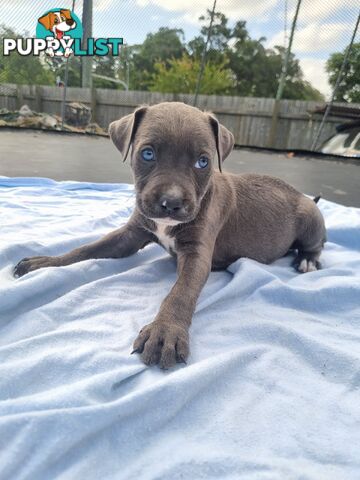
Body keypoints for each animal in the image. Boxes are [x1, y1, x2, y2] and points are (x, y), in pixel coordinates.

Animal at [13, 103, 326, 370]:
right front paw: (43, 263)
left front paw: (164, 332)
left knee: (316, 244)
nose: (171, 203)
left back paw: (307, 260)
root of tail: (303, 195)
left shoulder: (197, 254)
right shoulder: (131, 235)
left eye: (203, 162)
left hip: (310, 217)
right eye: (147, 154)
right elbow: (86, 249)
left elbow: (181, 292)